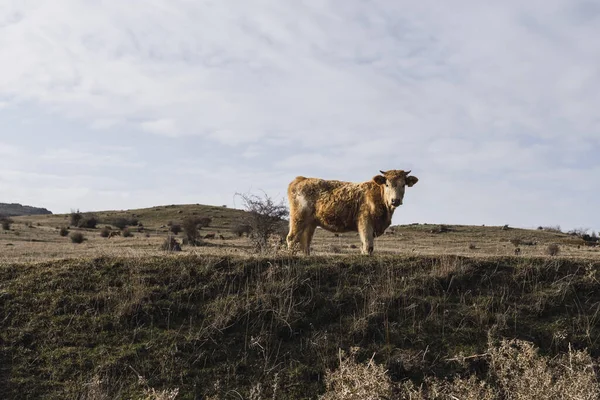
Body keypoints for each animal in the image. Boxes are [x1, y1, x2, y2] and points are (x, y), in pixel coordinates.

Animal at [286, 170, 418, 255]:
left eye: (403, 185)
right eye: (387, 184)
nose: (395, 200)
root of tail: (301, 179)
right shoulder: (365, 223)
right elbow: (368, 247)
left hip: (310, 224)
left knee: (304, 243)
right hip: (298, 218)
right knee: (292, 239)